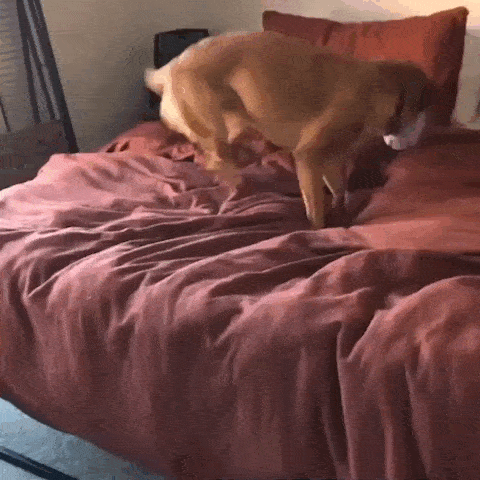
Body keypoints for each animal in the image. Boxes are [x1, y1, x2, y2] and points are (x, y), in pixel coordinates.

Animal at [145, 31, 434, 228]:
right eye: (424, 107)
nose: (421, 137)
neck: (379, 90)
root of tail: (167, 70)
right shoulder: (309, 156)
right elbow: (315, 205)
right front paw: (319, 228)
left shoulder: (330, 160)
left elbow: (339, 189)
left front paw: (340, 211)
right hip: (212, 124)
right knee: (217, 163)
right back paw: (235, 190)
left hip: (237, 121)